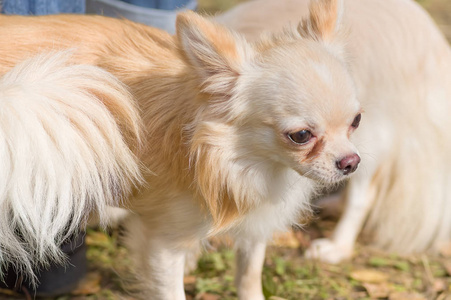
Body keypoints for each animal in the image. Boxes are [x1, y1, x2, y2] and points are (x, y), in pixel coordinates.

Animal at [0, 0, 360, 298]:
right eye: (301, 135)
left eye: (356, 121)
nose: (351, 162)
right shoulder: (162, 245)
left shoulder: (255, 224)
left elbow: (248, 275)